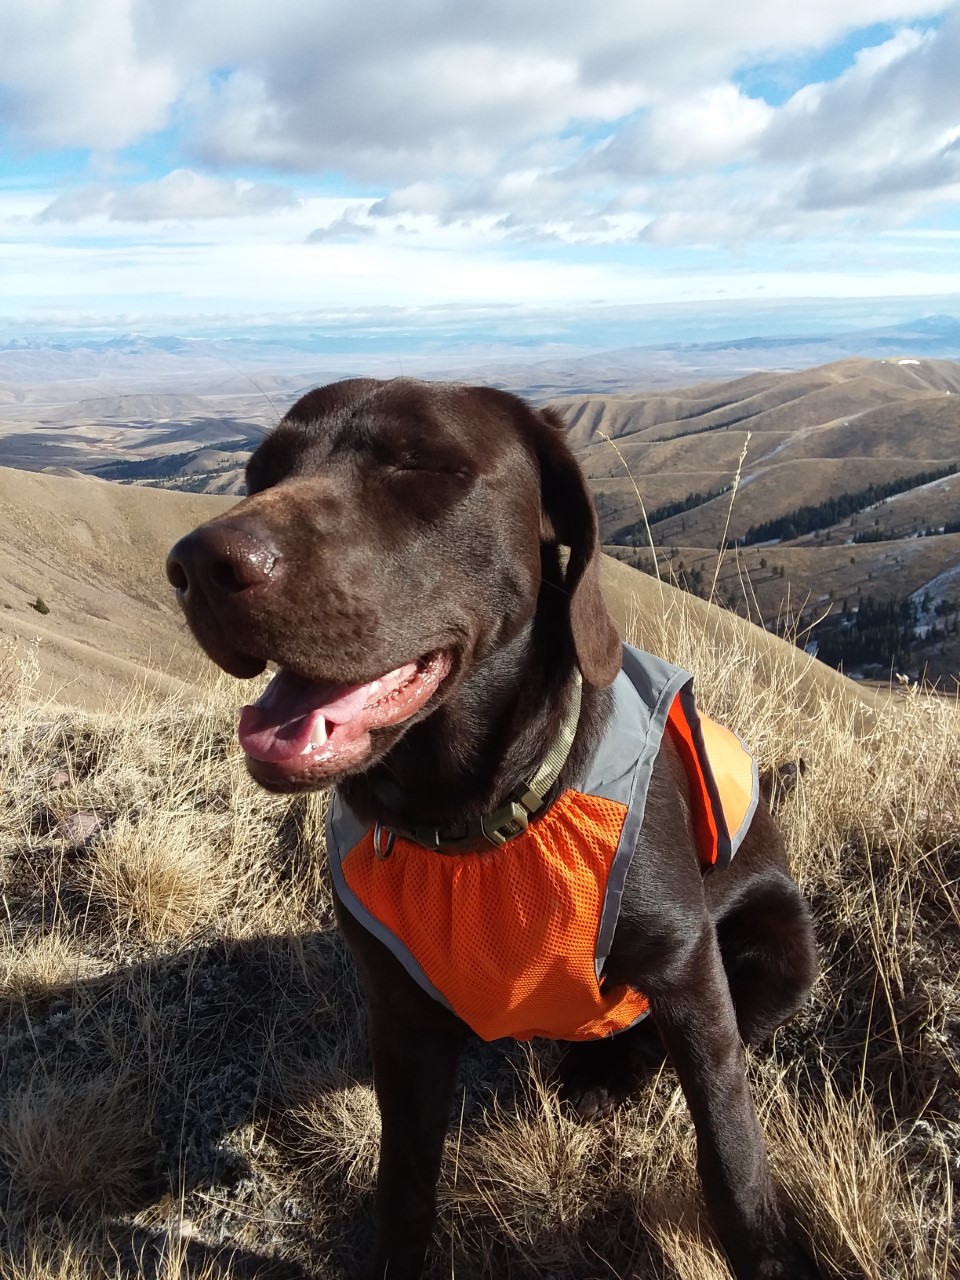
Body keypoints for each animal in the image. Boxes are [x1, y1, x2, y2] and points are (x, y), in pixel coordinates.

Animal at [165, 378, 819, 1280]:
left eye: (421, 463)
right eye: (259, 473)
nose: (197, 565)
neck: (472, 825)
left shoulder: (690, 973)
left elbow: (731, 1158)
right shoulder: (401, 1015)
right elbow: (405, 1184)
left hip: (782, 950)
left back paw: (605, 1075)